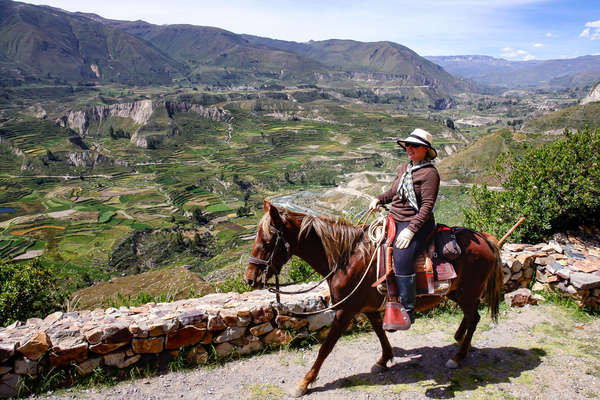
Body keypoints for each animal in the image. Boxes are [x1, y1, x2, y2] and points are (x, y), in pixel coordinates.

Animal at [244, 200, 502, 396]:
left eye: (267, 242)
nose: (249, 279)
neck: (346, 259)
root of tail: (484, 238)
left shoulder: (345, 311)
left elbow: (325, 348)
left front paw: (305, 382)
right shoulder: (367, 307)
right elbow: (379, 332)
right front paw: (384, 359)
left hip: (468, 291)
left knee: (474, 318)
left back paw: (458, 356)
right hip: (457, 292)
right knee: (470, 317)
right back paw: (460, 340)